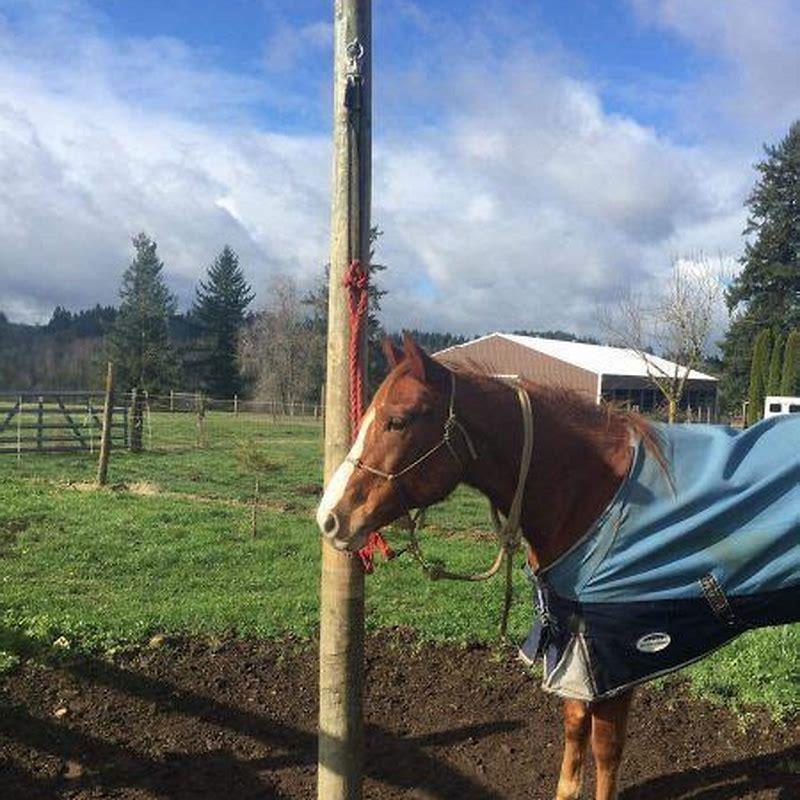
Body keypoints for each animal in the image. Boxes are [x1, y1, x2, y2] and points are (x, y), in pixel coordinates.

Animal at [316, 332, 800, 800]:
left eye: (397, 420)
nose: (330, 518)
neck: (590, 490)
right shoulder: (573, 645)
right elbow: (573, 731)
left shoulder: (615, 660)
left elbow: (605, 750)